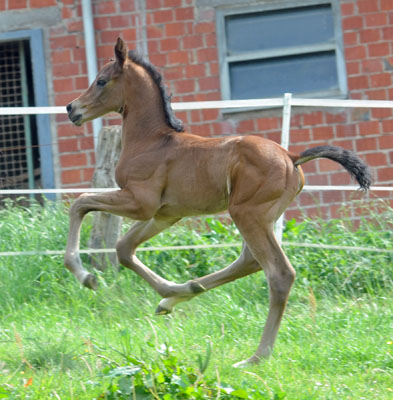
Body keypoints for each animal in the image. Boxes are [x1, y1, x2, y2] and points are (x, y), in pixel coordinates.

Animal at [65, 37, 370, 366]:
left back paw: (256, 357)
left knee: (279, 273)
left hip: (246, 213)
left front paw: (85, 276)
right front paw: (170, 291)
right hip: (263, 217)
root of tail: (291, 156)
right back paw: (181, 293)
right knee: (250, 261)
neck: (152, 141)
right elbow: (123, 248)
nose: (71, 108)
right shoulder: (165, 214)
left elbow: (81, 203)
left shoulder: (140, 202)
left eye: (101, 80)